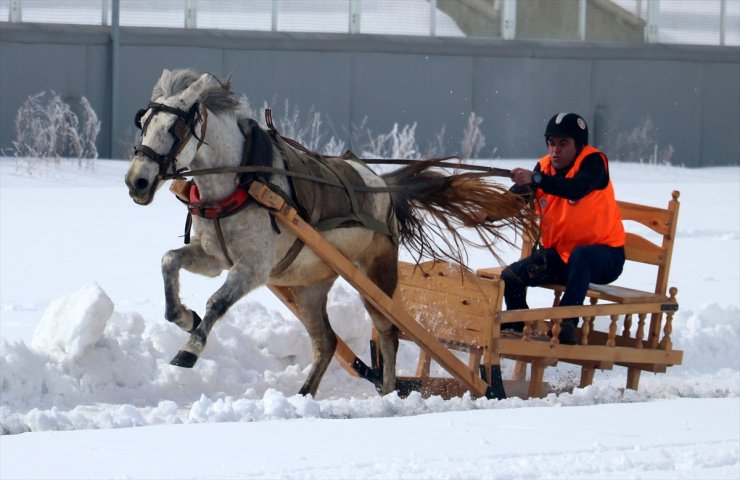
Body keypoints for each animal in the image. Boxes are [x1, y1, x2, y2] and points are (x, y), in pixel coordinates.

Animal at [125, 68, 532, 398]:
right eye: (143, 122)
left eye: (175, 129)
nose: (137, 181)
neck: (244, 180)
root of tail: (383, 186)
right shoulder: (213, 257)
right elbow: (169, 262)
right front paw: (183, 317)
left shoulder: (253, 267)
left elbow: (217, 302)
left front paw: (189, 350)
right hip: (308, 288)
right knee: (327, 341)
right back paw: (305, 393)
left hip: (375, 277)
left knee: (388, 331)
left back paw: (387, 393)